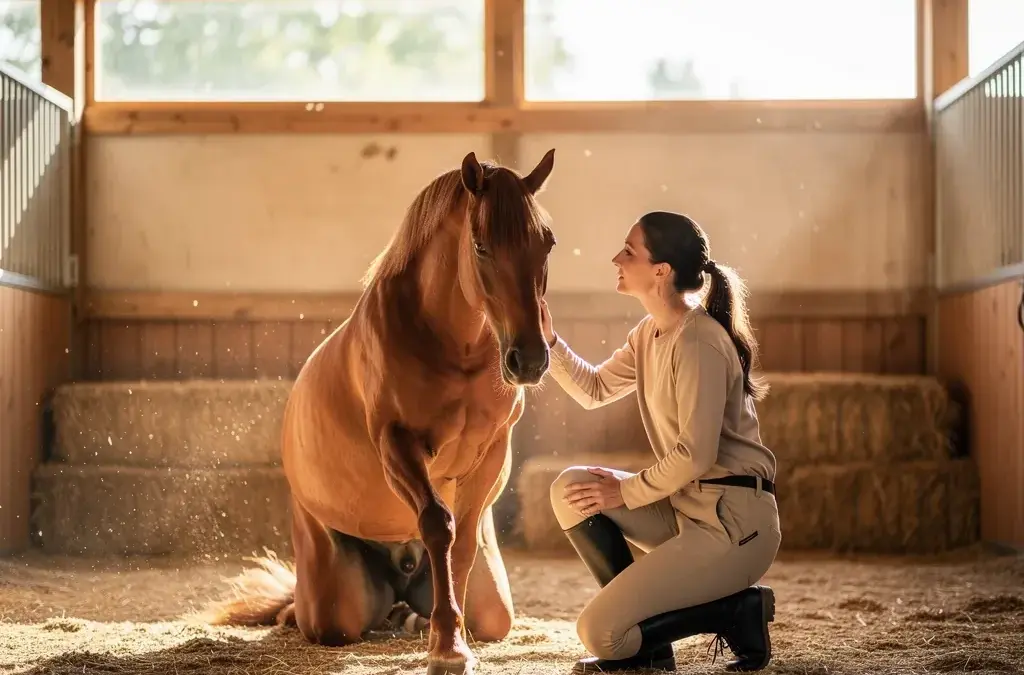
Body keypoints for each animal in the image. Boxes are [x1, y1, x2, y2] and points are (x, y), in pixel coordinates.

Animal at [198, 149, 558, 675]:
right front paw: (447, 648)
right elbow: (438, 524)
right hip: (331, 604)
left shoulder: (491, 451)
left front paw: (454, 635)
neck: (452, 348)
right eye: (481, 246)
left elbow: (461, 544)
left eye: (547, 243)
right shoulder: (397, 445)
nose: (529, 359)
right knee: (319, 615)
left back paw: (411, 619)